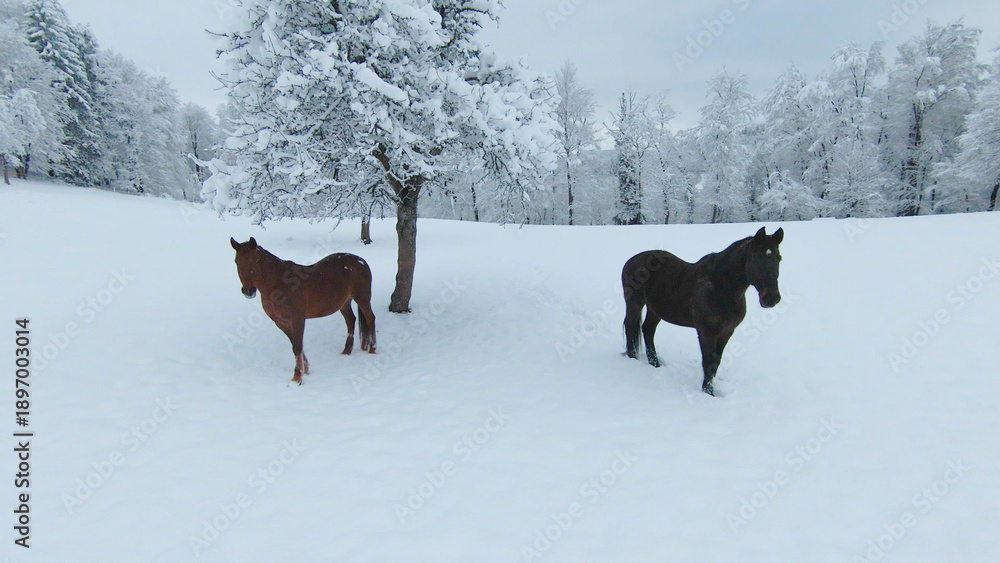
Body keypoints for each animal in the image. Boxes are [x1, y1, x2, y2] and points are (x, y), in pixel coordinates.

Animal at [230, 237, 376, 385]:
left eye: (255, 261)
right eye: (237, 261)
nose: (248, 291)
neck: (279, 283)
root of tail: (360, 261)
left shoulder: (297, 319)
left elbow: (297, 347)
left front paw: (297, 377)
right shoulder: (281, 322)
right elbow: (295, 344)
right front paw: (305, 369)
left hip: (362, 298)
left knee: (370, 319)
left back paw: (373, 349)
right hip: (344, 303)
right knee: (350, 320)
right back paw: (346, 351)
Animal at [621, 227, 784, 396]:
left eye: (779, 258)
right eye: (756, 258)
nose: (772, 299)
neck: (720, 287)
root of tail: (631, 261)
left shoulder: (726, 332)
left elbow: (716, 362)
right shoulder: (707, 334)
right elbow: (708, 363)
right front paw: (708, 392)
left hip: (655, 309)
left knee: (648, 329)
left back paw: (655, 363)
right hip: (634, 303)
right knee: (630, 326)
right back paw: (632, 358)